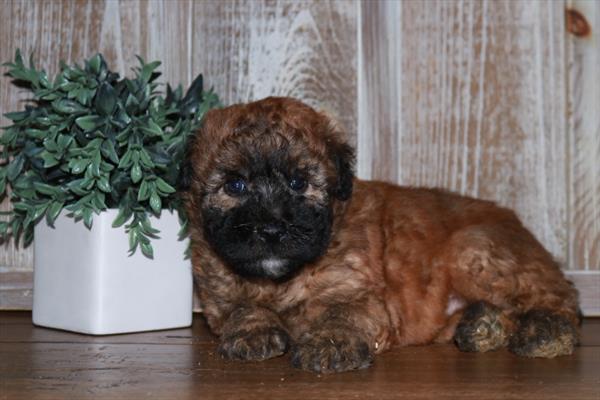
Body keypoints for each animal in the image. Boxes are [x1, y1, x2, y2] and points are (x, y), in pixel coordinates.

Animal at [180, 96, 580, 372]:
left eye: (299, 183)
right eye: (235, 185)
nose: (272, 228)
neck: (282, 280)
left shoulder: (360, 293)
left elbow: (343, 313)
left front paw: (330, 343)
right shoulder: (218, 292)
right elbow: (240, 306)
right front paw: (252, 330)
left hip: (474, 250)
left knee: (557, 298)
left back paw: (545, 333)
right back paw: (484, 325)